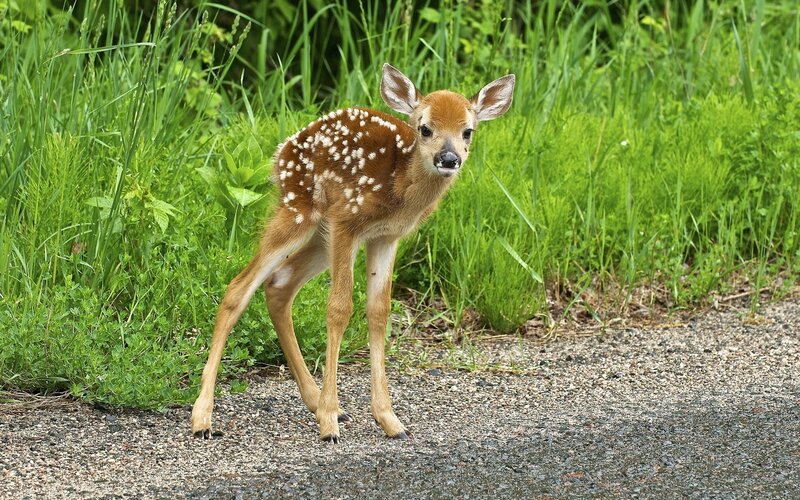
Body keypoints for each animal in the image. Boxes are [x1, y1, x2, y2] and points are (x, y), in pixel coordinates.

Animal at [191, 64, 515, 442]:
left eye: (468, 130)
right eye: (425, 128)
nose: (449, 159)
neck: (399, 186)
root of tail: (282, 151)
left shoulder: (385, 237)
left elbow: (378, 311)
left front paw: (389, 420)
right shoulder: (347, 221)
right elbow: (339, 307)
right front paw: (329, 423)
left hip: (320, 236)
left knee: (279, 283)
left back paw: (315, 401)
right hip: (300, 211)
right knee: (238, 288)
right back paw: (203, 418)